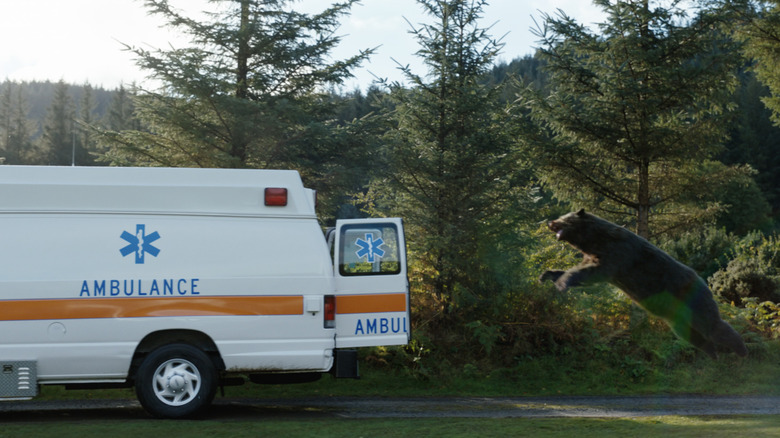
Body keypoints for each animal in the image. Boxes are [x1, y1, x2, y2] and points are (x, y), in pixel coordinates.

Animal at [540, 210, 748, 360]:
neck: (595, 240)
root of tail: (705, 284)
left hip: (694, 302)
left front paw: (562, 283)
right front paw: (548, 275)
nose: (549, 222)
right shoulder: (594, 254)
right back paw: (713, 353)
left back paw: (741, 349)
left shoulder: (618, 254)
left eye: (563, 217)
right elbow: (580, 269)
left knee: (713, 327)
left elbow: (593, 272)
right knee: (692, 335)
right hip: (677, 318)